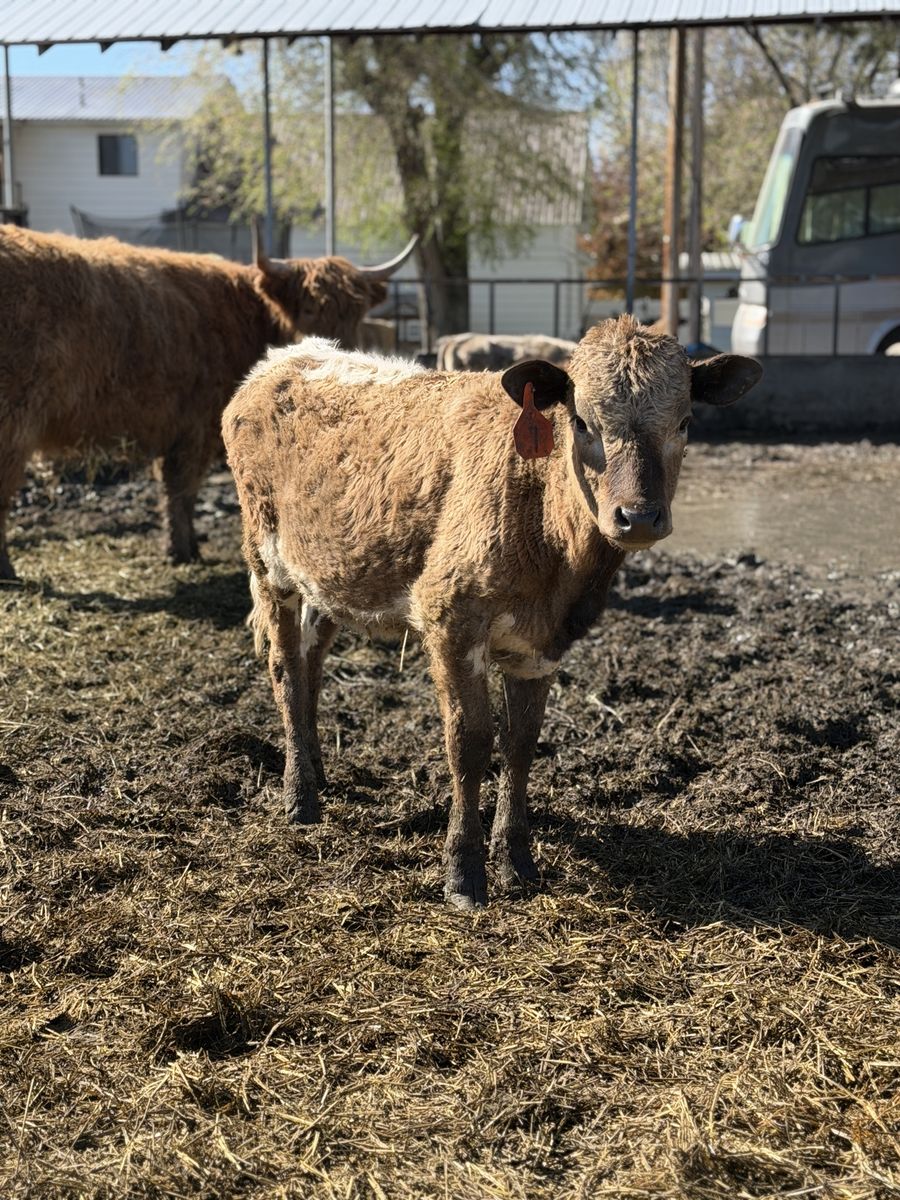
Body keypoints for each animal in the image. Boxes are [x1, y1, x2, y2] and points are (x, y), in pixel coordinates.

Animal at [0, 223, 415, 580]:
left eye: (357, 313)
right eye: (310, 308)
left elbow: (180, 493)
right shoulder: (195, 428)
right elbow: (182, 488)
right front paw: (181, 551)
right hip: (12, 422)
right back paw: (8, 572)